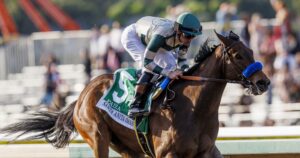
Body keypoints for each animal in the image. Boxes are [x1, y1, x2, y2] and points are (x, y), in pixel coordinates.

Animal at [0, 31, 270, 157]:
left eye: (252, 50)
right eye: (238, 55)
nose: (264, 82)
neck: (195, 109)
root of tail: (80, 96)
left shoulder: (207, 151)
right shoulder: (167, 154)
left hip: (129, 147)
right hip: (97, 136)